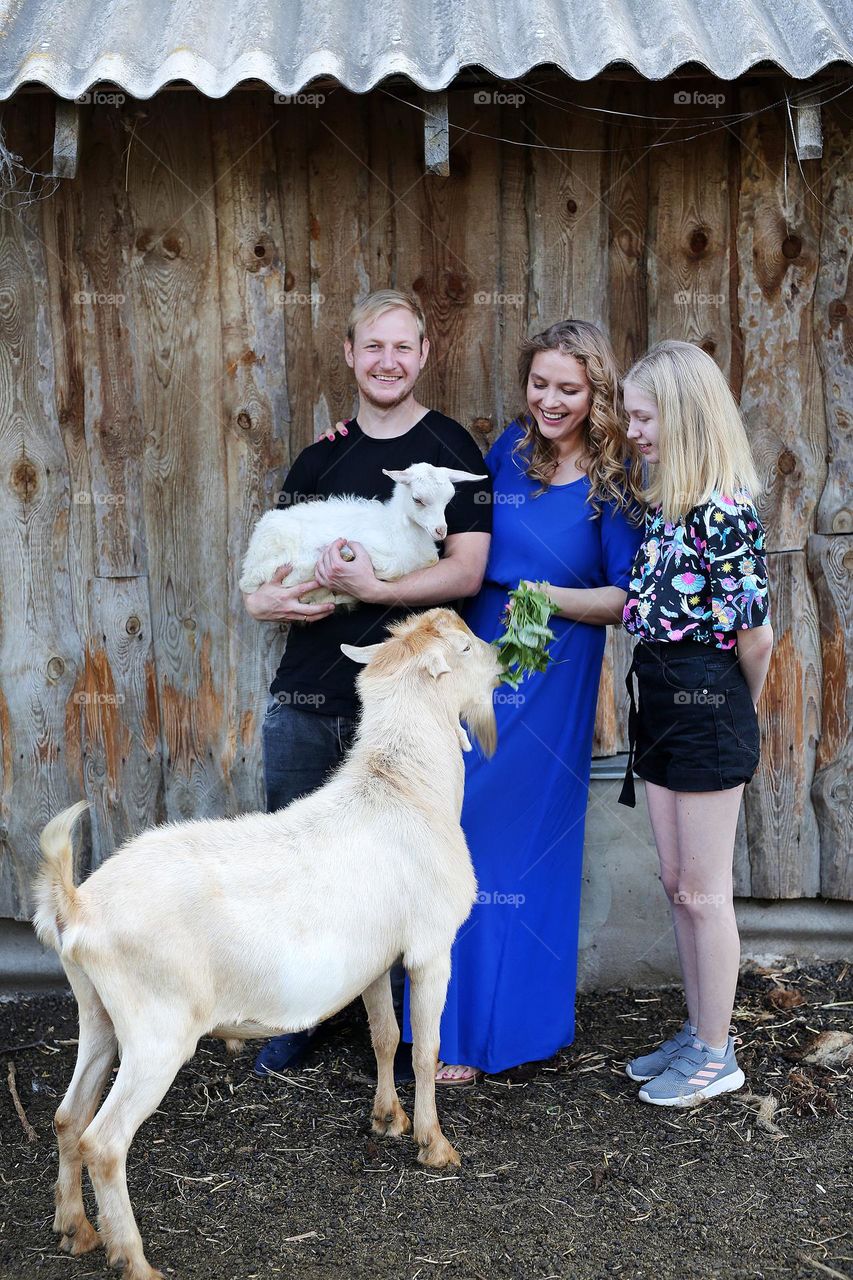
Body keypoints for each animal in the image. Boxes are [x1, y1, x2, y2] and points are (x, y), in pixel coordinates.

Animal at [33, 606, 499, 1280]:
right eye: (465, 649)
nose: (501, 663)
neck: (403, 790)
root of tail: (78, 907)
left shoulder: (376, 959)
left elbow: (386, 1036)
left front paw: (387, 1119)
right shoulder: (431, 948)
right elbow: (425, 1049)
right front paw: (434, 1146)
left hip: (97, 1012)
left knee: (69, 1117)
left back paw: (77, 1231)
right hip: (157, 1031)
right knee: (104, 1141)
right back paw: (135, 1261)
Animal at [235, 463, 484, 606]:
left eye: (448, 499)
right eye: (417, 499)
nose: (440, 530)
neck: (394, 528)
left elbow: (428, 562)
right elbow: (393, 569)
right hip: (271, 554)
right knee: (263, 581)